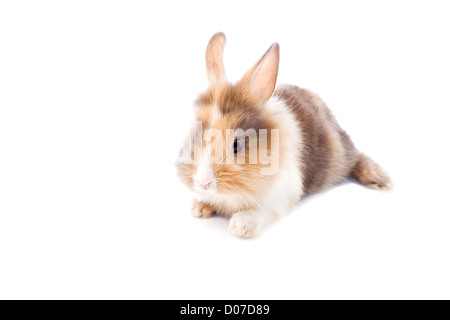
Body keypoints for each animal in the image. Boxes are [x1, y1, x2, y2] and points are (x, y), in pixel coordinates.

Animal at [176, 32, 390, 238]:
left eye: (237, 145)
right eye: (194, 136)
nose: (204, 183)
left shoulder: (282, 194)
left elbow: (261, 211)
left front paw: (241, 226)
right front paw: (199, 207)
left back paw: (380, 180)